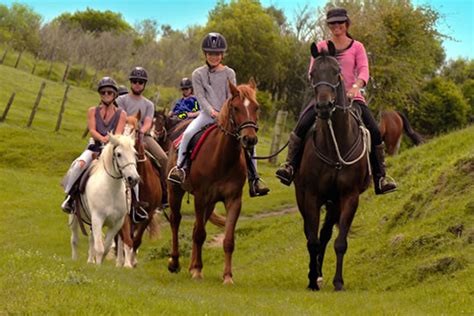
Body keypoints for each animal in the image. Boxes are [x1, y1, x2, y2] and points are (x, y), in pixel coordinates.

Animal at [69, 133, 139, 264]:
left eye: (134, 153)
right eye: (119, 154)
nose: (134, 178)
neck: (111, 191)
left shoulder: (116, 223)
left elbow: (106, 248)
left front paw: (98, 264)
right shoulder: (98, 218)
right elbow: (100, 248)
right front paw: (97, 265)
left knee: (91, 239)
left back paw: (90, 261)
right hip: (74, 216)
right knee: (74, 239)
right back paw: (74, 260)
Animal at [117, 113, 162, 266]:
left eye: (135, 130)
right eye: (121, 128)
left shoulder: (149, 214)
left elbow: (136, 240)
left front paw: (132, 260)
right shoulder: (126, 214)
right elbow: (126, 239)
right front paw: (125, 262)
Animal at [168, 78, 260, 284]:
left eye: (256, 107)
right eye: (235, 108)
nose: (249, 139)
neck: (222, 158)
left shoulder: (233, 200)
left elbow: (228, 240)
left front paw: (227, 276)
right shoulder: (200, 197)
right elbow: (200, 234)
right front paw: (198, 271)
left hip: (209, 204)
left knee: (195, 226)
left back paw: (191, 265)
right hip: (175, 191)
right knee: (176, 221)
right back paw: (175, 263)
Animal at [296, 42, 370, 292]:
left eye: (337, 72)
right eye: (312, 74)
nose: (323, 106)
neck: (335, 145)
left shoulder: (349, 197)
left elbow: (339, 242)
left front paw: (338, 282)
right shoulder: (311, 196)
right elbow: (312, 240)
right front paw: (311, 280)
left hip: (334, 202)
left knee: (326, 234)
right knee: (312, 233)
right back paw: (315, 275)